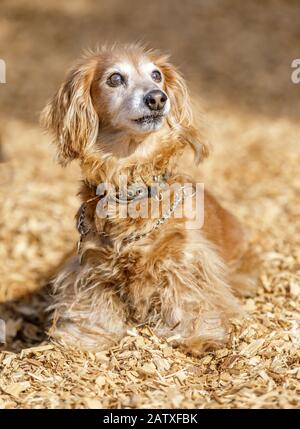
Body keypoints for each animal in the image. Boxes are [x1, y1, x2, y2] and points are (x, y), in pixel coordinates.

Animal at [41, 43, 252, 352]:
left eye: (156, 75)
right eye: (115, 78)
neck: (132, 186)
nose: (157, 98)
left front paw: (197, 335)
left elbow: (190, 297)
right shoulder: (91, 262)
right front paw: (87, 337)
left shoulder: (184, 258)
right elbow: (93, 303)